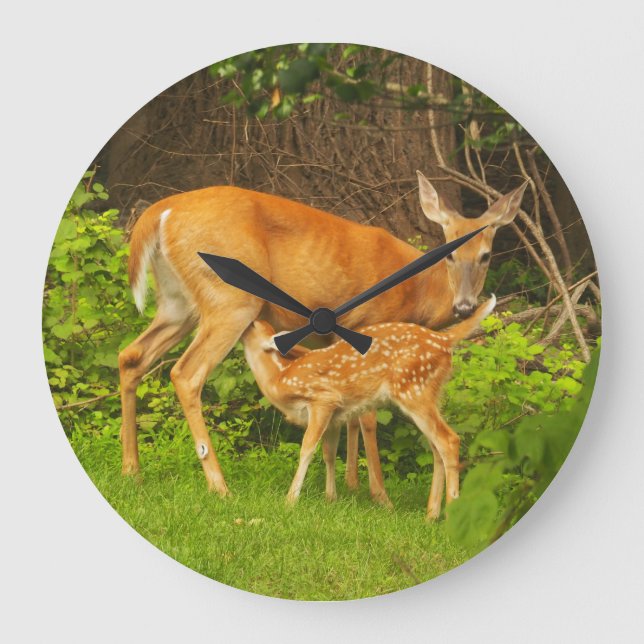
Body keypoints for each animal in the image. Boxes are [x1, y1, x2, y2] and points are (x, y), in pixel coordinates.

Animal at [240, 296, 496, 519]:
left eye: (253, 324)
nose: (246, 320)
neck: (279, 378)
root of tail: (444, 340)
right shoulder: (335, 416)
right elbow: (329, 454)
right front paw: (330, 498)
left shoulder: (323, 398)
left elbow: (307, 448)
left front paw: (290, 501)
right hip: (428, 393)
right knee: (436, 447)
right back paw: (430, 515)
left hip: (414, 390)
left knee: (449, 440)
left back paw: (449, 514)